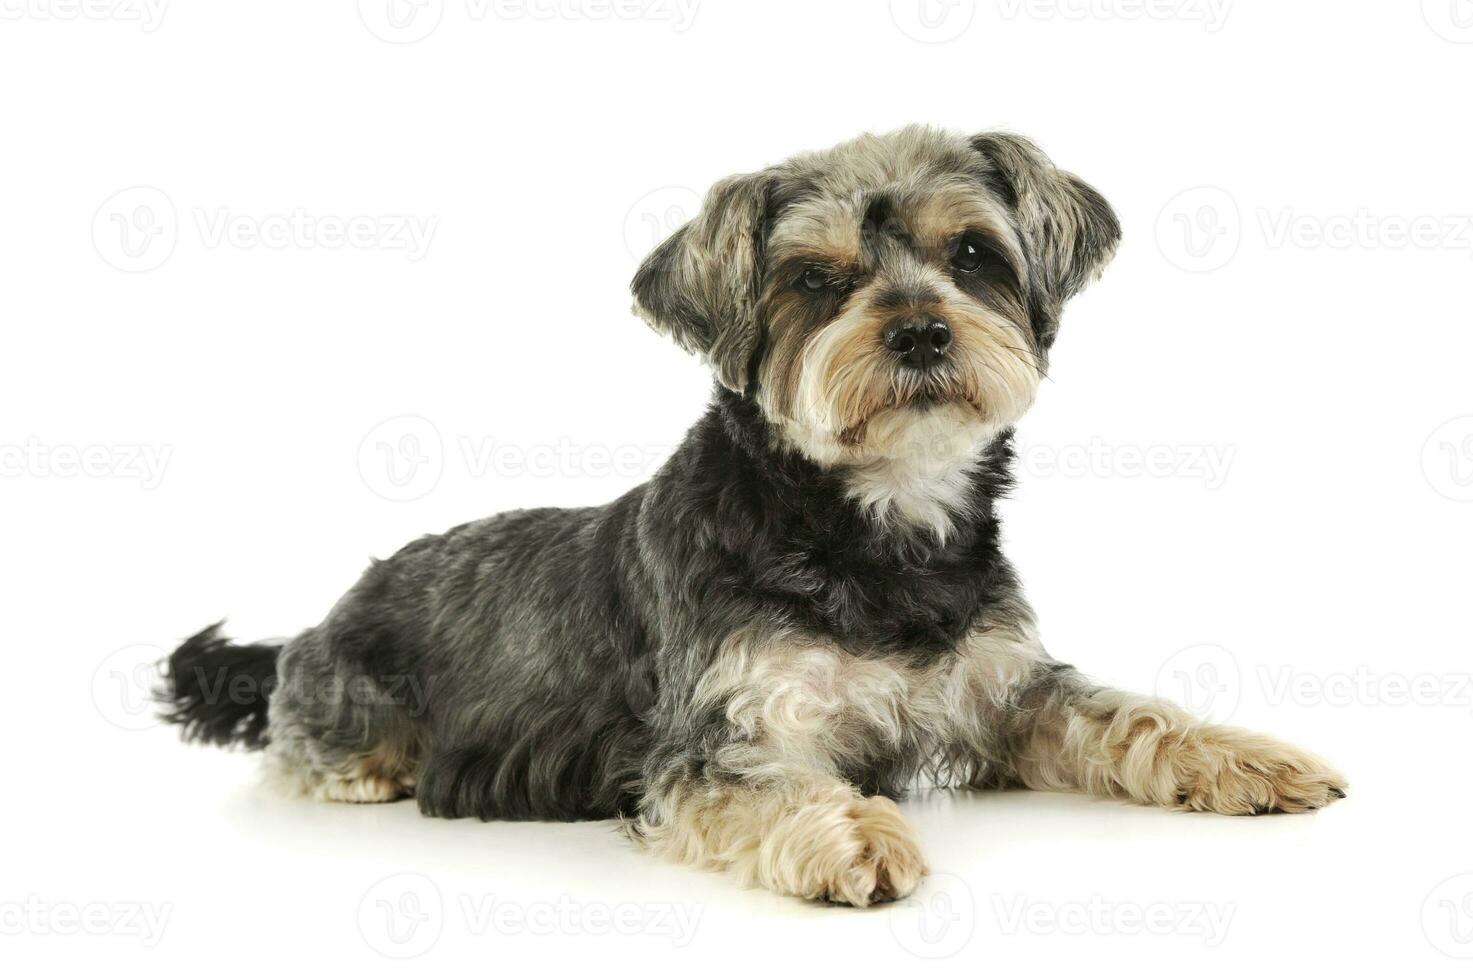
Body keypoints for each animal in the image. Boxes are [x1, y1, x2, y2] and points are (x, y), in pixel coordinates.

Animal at [158, 126, 1349, 907]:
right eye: (815, 278)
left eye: (971, 252)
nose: (919, 331)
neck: (870, 526)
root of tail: (316, 620)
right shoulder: (719, 732)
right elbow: (773, 780)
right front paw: (854, 829)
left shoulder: (1007, 693)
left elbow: (1129, 716)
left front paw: (1248, 757)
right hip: (347, 709)